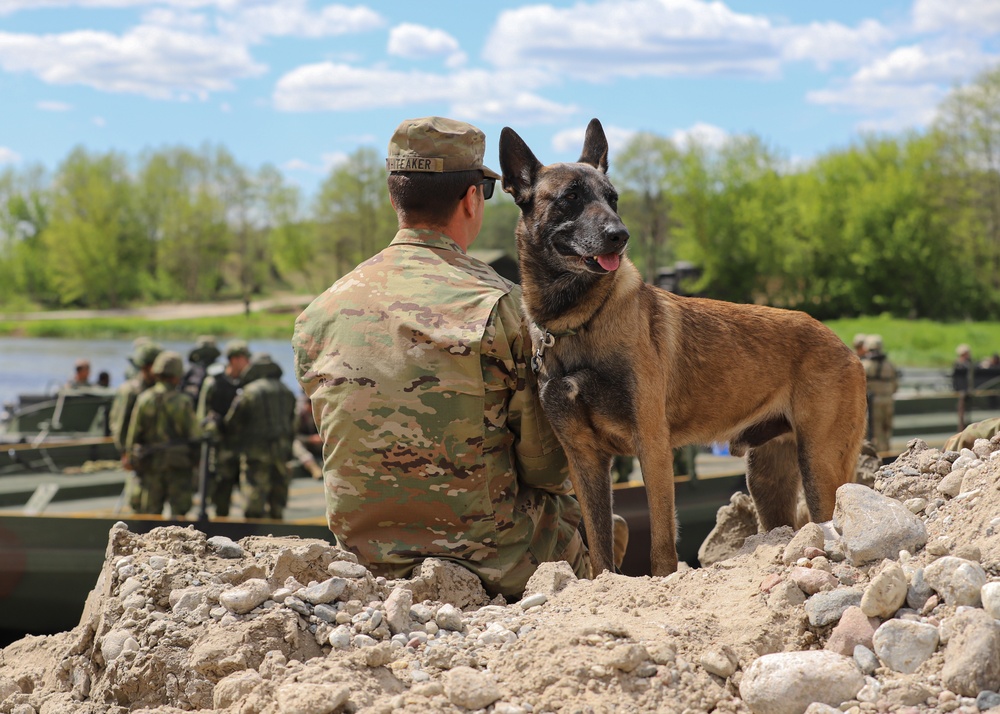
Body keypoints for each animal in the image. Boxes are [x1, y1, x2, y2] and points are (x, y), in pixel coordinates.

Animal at [498, 117, 868, 572]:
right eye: (570, 197)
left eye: (613, 199)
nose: (620, 235)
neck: (577, 321)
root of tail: (844, 347)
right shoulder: (584, 459)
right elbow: (600, 549)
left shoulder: (652, 447)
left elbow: (661, 545)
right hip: (768, 480)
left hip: (820, 468)